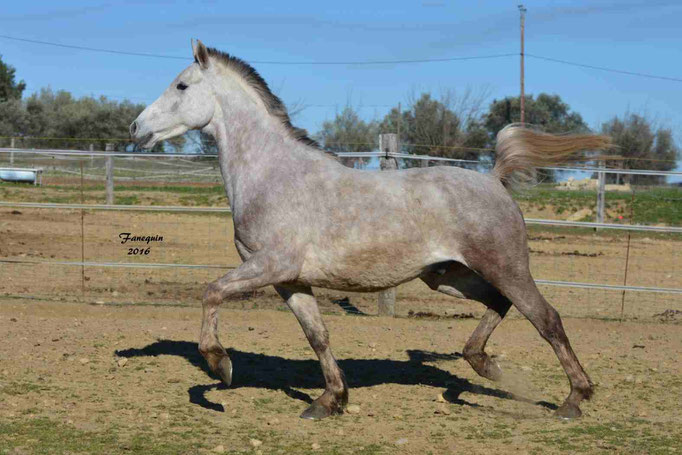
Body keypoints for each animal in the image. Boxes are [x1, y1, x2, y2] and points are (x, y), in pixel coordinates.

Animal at [130, 39, 608, 420]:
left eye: (182, 86)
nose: (136, 128)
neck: (272, 175)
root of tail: (493, 178)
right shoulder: (290, 280)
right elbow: (317, 336)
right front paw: (329, 401)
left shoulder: (270, 265)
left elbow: (210, 292)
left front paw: (220, 365)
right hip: (448, 276)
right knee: (500, 305)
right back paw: (483, 364)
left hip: (505, 266)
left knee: (546, 319)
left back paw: (573, 400)